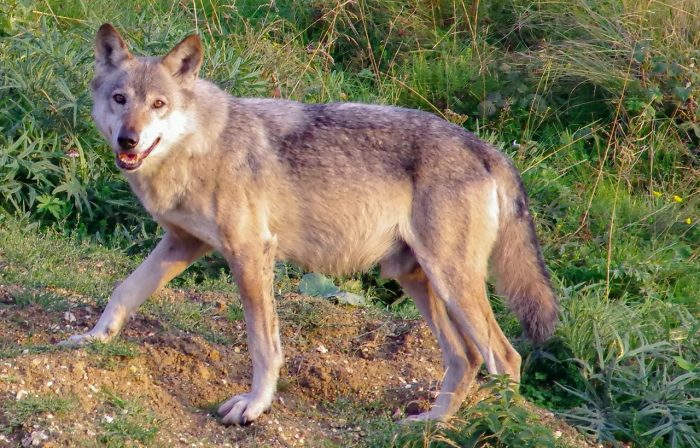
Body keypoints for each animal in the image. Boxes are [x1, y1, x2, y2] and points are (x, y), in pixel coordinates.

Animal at [64, 24, 556, 428]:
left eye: (159, 104)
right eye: (120, 99)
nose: (129, 140)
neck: (200, 147)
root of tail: (488, 149)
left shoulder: (251, 253)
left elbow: (263, 344)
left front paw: (254, 406)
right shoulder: (182, 244)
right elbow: (124, 291)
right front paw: (91, 339)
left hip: (451, 281)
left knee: (506, 357)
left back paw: (496, 425)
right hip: (415, 277)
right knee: (465, 357)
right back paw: (430, 423)